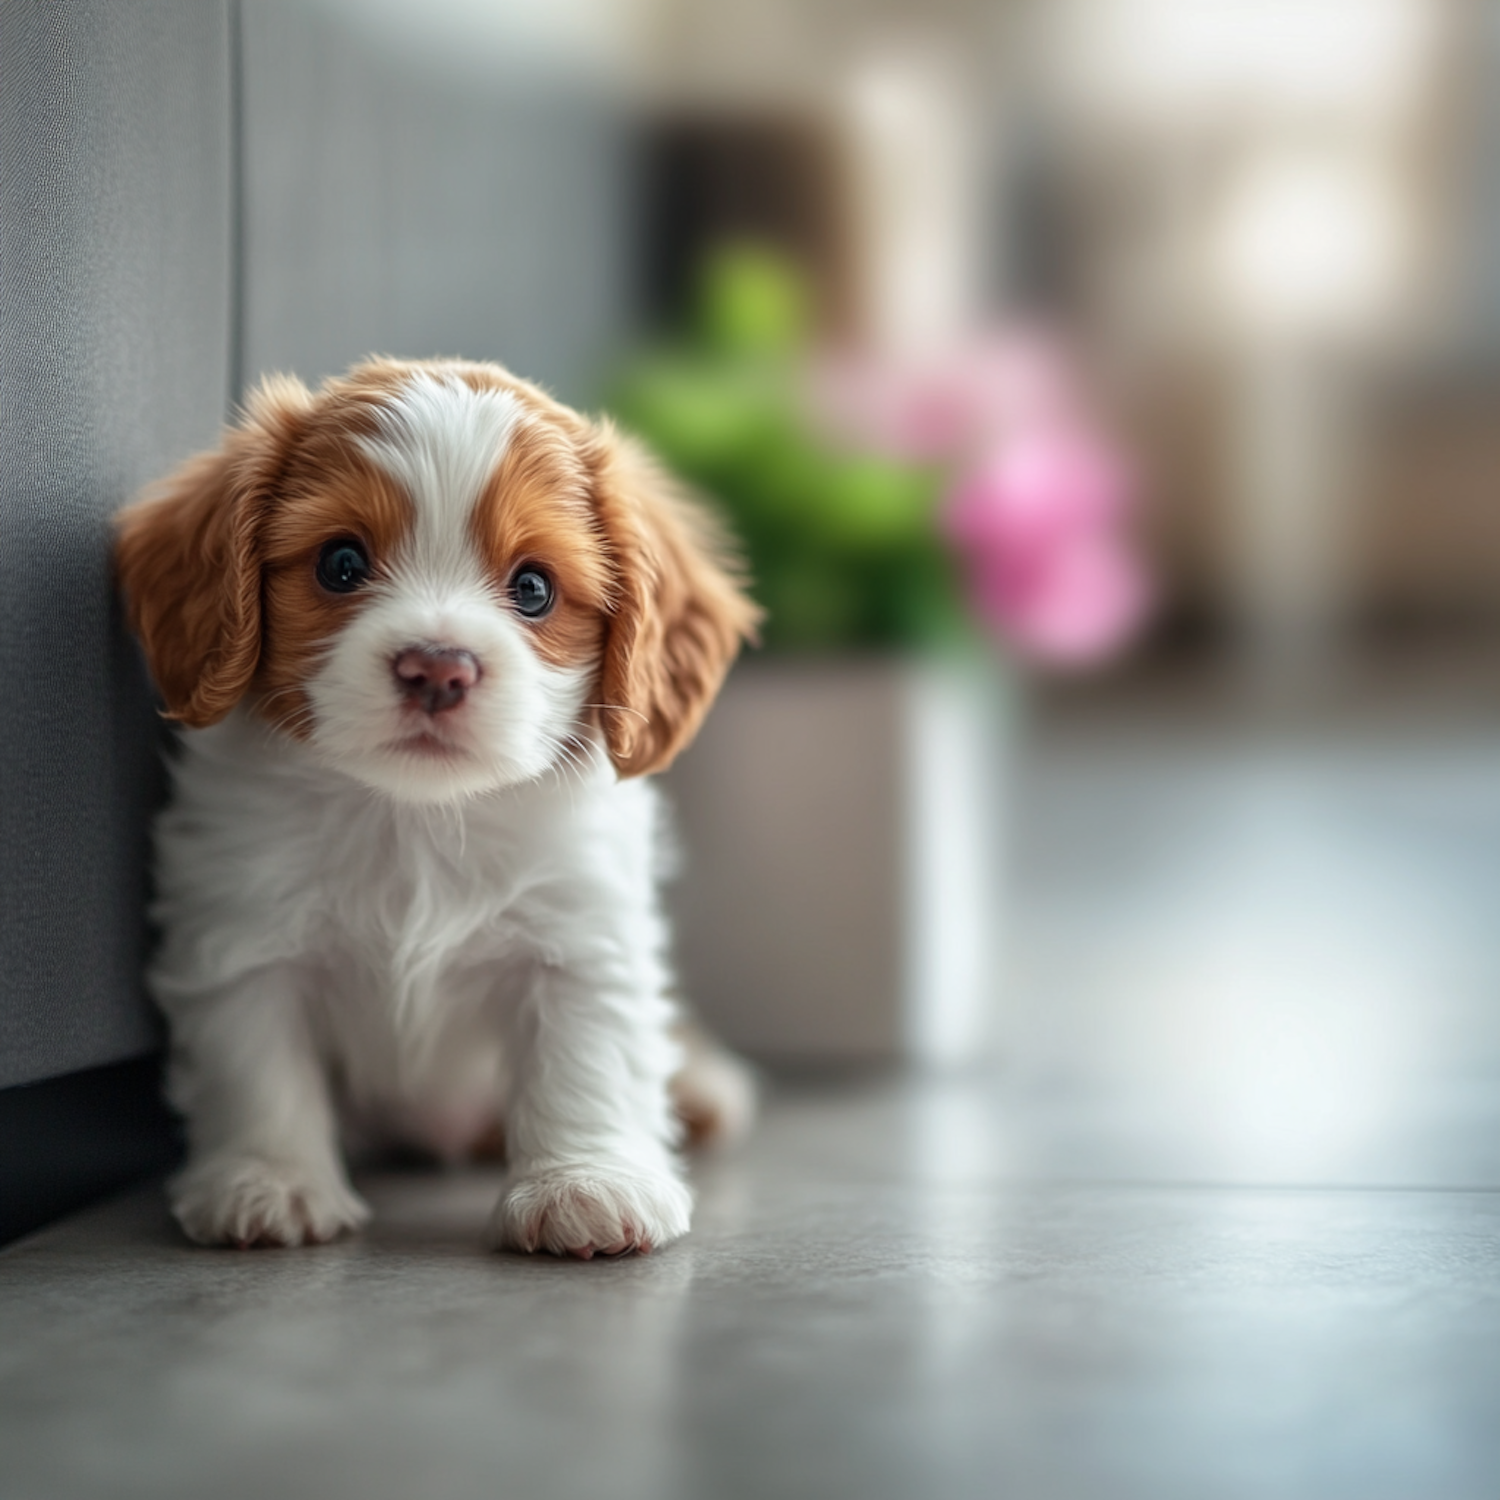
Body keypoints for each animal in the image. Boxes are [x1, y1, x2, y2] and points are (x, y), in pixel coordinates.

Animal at [114, 357, 762, 1260]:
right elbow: (257, 1064)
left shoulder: (580, 938)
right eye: (341, 564)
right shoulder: (242, 936)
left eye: (533, 588)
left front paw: (585, 1185)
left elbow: (587, 1058)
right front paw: (270, 1181)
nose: (437, 667)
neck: (414, 816)